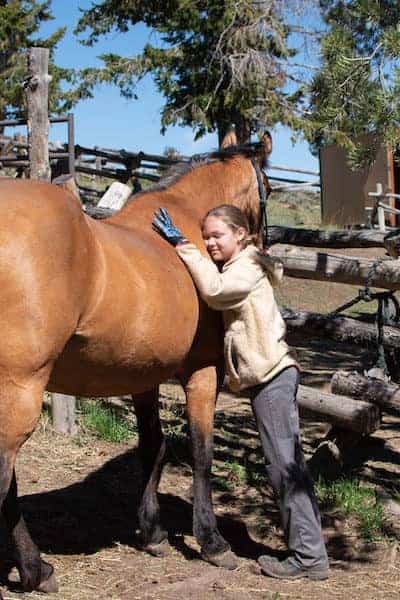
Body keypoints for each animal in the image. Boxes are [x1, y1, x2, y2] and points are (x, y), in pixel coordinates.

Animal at [0, 129, 272, 592]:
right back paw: (35, 569)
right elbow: (201, 452)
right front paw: (212, 542)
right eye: (267, 189)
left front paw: (154, 533)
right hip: (20, 391)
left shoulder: (144, 375)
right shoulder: (203, 371)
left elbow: (153, 448)